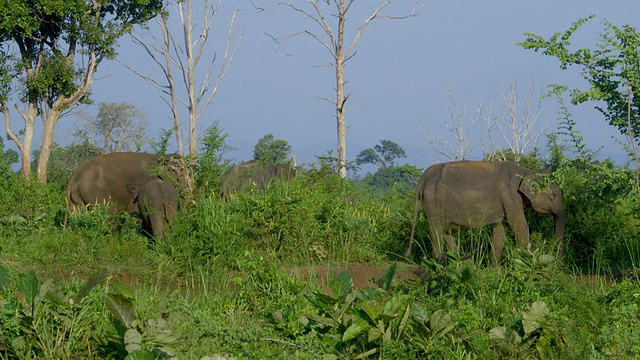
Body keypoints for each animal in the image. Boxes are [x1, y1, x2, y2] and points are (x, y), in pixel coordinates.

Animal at [408, 161, 564, 268]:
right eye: (554, 194)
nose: (559, 267)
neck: (526, 171)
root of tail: (423, 178)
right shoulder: (511, 196)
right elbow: (518, 226)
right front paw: (531, 262)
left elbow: (500, 230)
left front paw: (495, 271)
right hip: (433, 202)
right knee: (437, 230)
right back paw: (438, 265)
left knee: (446, 233)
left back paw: (457, 266)